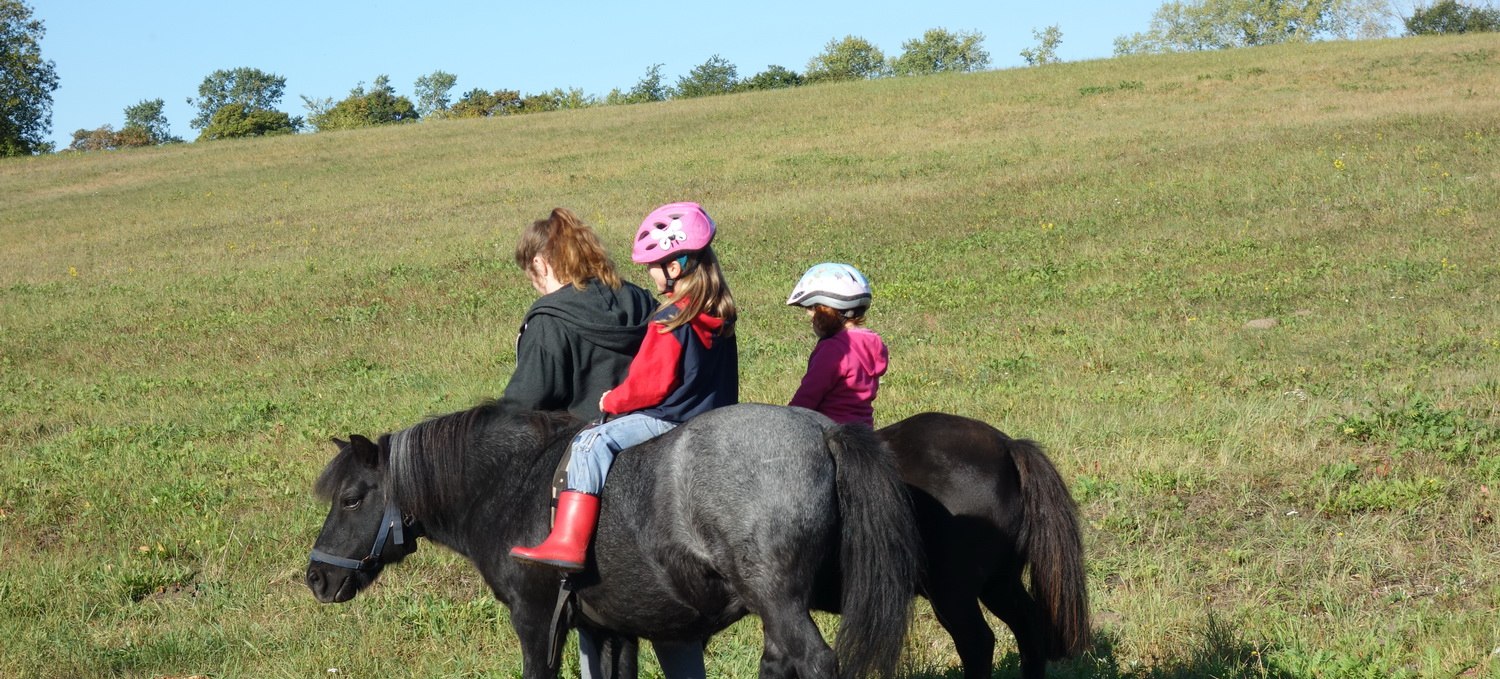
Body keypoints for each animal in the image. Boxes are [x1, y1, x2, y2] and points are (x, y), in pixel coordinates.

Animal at [304, 401, 918, 677]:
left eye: (351, 498)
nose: (316, 577)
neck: (514, 482)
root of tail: (824, 432)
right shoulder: (609, 628)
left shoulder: (535, 621)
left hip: (781, 602)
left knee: (814, 661)